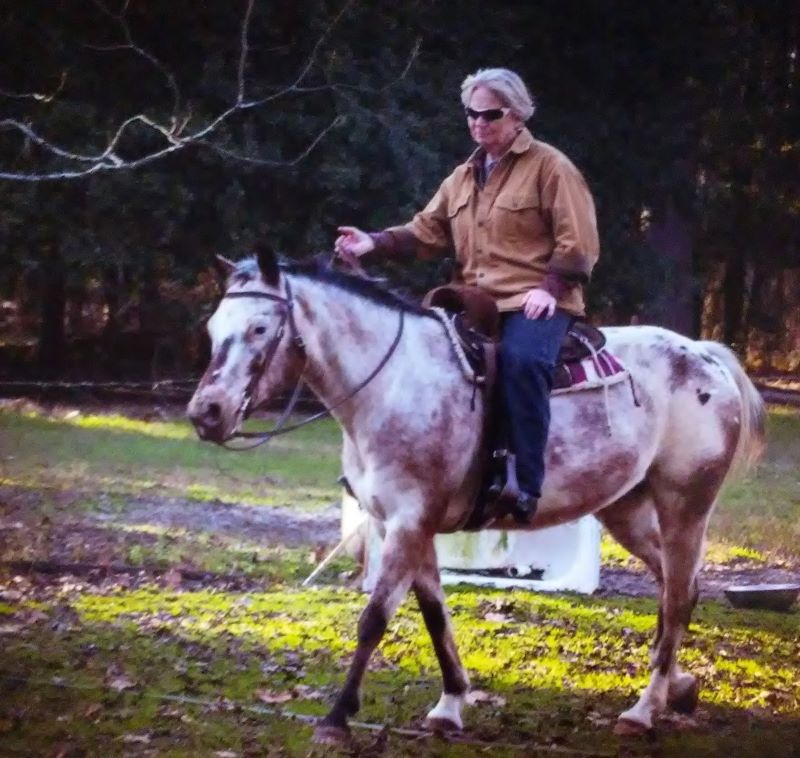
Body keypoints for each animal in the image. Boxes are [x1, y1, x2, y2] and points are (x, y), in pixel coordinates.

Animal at [187, 247, 765, 743]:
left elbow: (374, 618)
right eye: (215, 328)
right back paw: (676, 688)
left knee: (678, 593)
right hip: (627, 510)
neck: (393, 383)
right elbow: (434, 615)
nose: (205, 413)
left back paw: (643, 709)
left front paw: (336, 718)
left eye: (260, 328)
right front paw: (450, 705)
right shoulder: (405, 526)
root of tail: (705, 356)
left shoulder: (408, 522)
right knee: (676, 587)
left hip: (685, 504)